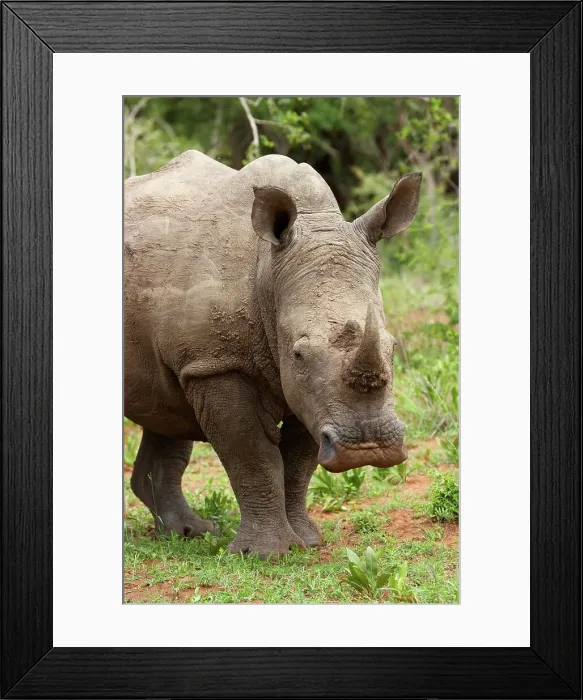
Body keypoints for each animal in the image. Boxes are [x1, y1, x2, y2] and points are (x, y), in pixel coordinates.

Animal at [124, 150, 421, 556]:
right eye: (298, 354)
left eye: (392, 347)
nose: (368, 448)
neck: (269, 275)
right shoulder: (217, 363)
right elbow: (253, 456)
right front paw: (266, 554)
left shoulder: (310, 393)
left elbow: (298, 462)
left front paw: (307, 541)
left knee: (167, 411)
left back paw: (188, 533)